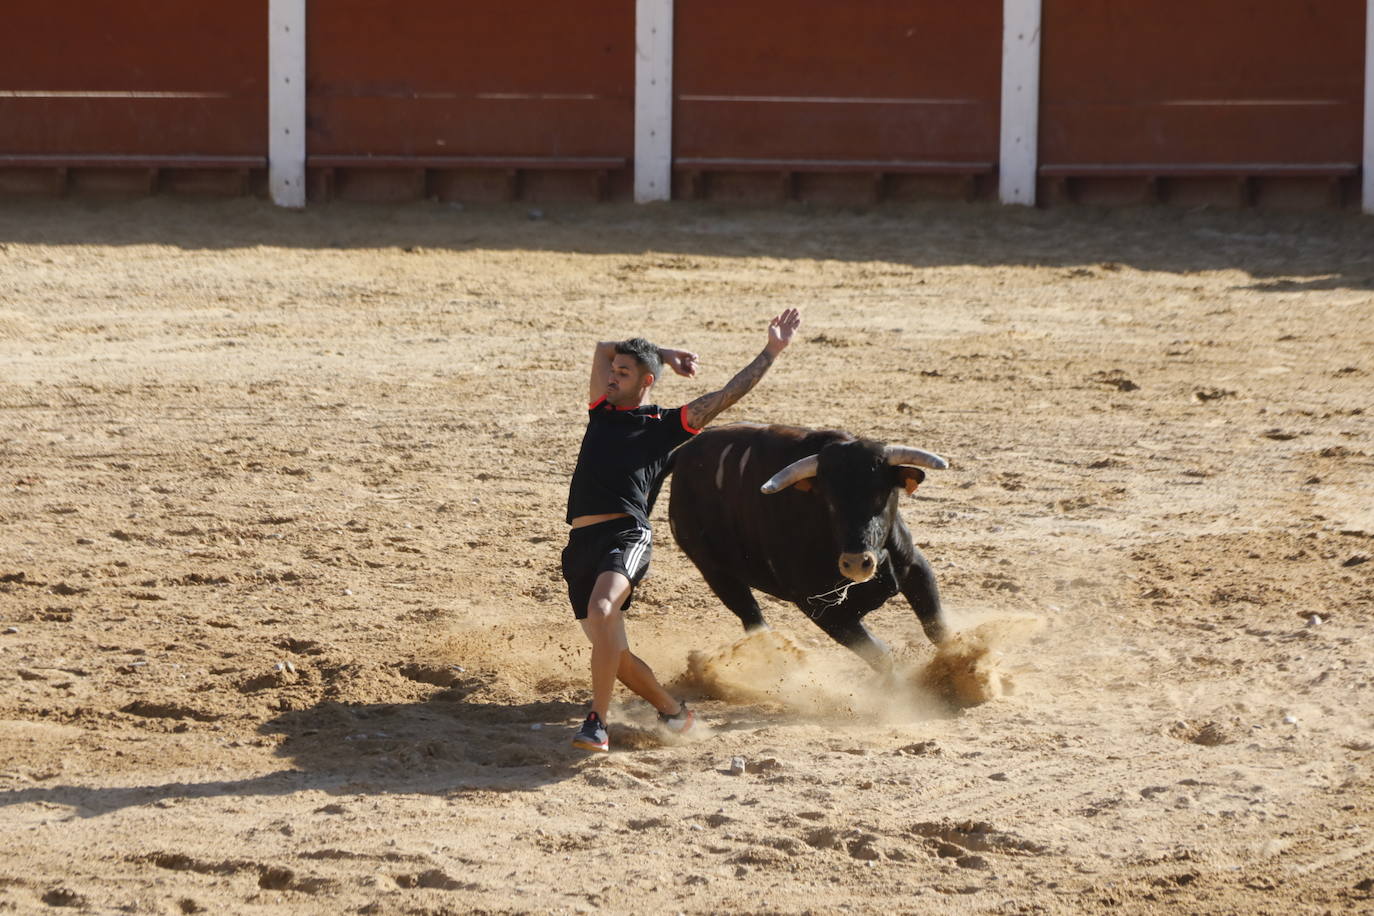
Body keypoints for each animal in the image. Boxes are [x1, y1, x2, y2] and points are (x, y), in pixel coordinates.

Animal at [662, 425, 945, 672]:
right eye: (829, 501)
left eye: (880, 494)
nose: (856, 563)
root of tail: (684, 453)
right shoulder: (820, 610)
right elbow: (880, 655)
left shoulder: (915, 567)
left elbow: (937, 629)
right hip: (717, 574)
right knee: (753, 619)